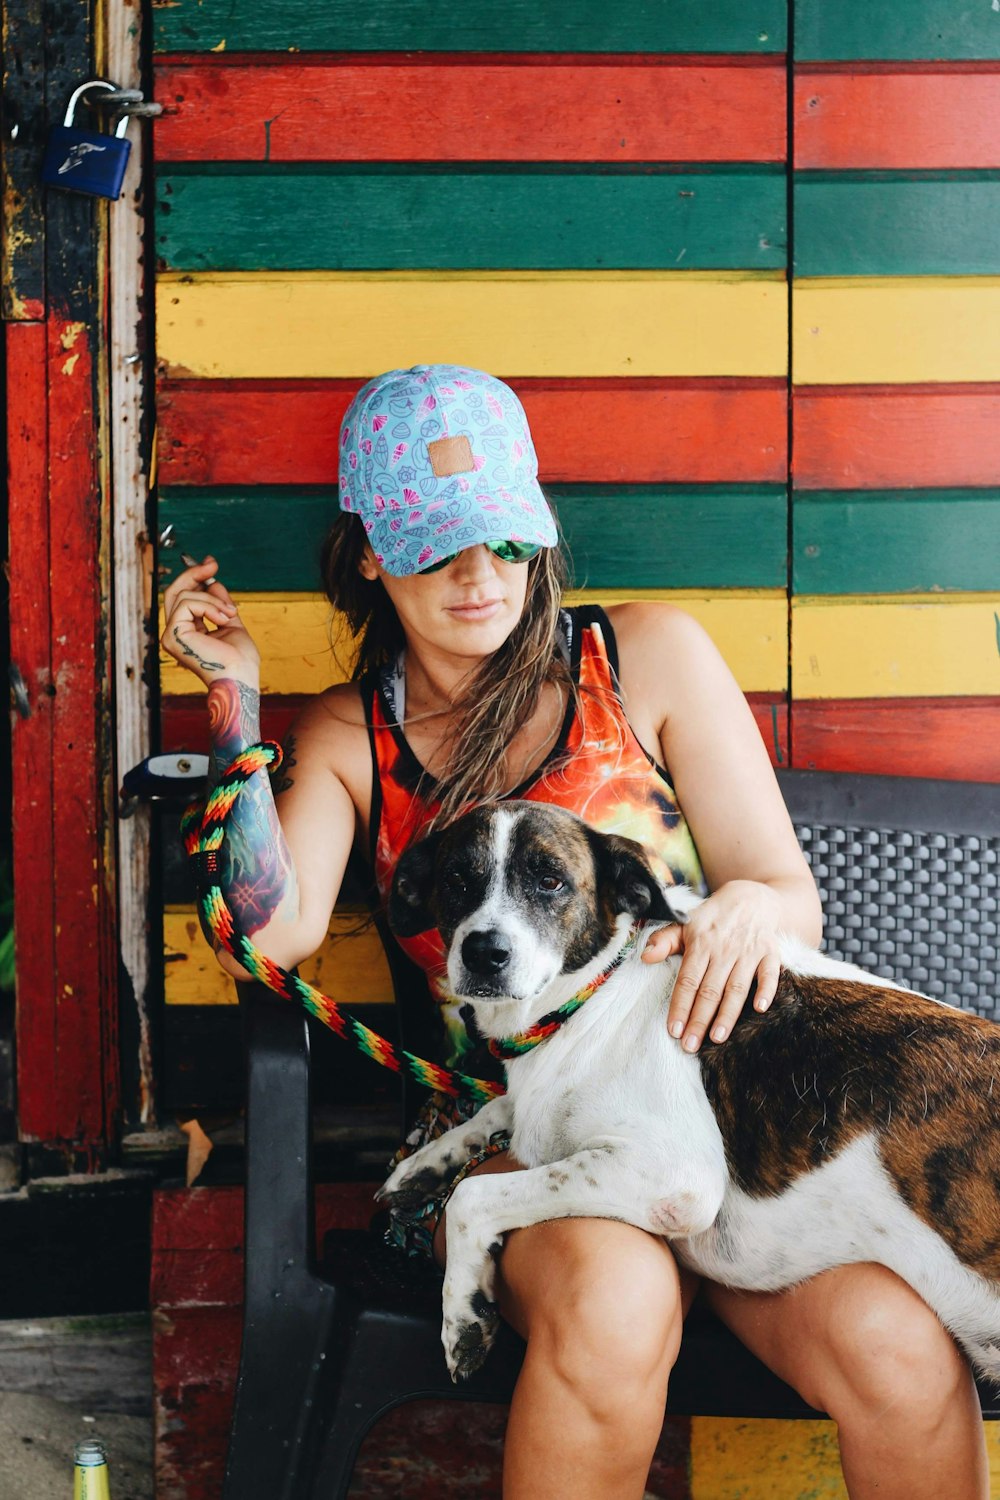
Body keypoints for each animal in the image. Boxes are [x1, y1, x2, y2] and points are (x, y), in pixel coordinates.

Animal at [379, 798, 1000, 1380]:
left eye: (550, 880)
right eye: (457, 880)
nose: (483, 953)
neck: (592, 996)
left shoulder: (674, 1175)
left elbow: (474, 1193)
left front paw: (463, 1316)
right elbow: (494, 1109)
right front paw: (421, 1167)